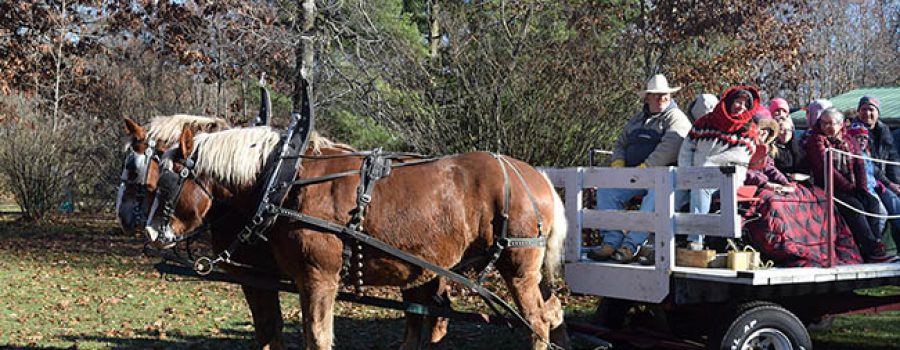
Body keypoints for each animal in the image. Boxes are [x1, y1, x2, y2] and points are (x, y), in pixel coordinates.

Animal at [146, 126, 568, 350]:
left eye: (166, 183)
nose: (151, 232)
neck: (286, 183)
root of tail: (537, 180)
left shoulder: (318, 277)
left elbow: (317, 336)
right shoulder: (278, 280)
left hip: (518, 267)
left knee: (537, 321)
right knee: (550, 311)